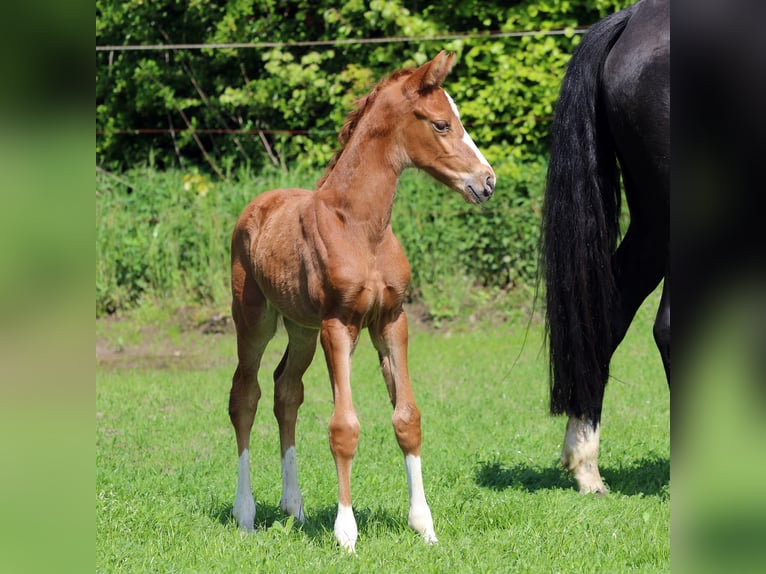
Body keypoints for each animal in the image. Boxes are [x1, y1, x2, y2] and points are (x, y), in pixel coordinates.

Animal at [228, 50, 496, 552]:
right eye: (441, 124)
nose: (487, 182)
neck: (360, 227)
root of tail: (256, 206)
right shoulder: (339, 324)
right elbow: (344, 426)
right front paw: (346, 532)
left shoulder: (391, 320)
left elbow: (407, 419)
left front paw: (425, 526)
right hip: (254, 319)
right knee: (245, 396)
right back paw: (246, 513)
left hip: (301, 328)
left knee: (286, 391)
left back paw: (293, 507)